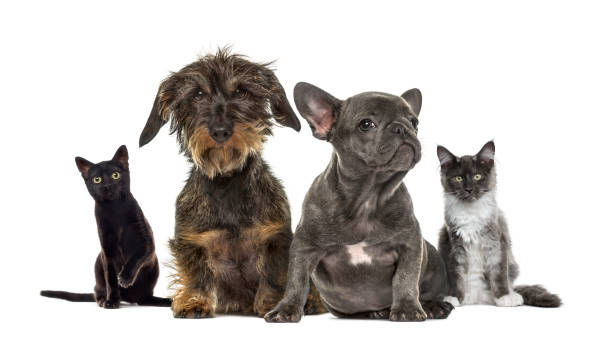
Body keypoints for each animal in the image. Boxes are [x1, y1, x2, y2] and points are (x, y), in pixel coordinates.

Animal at [41, 145, 171, 308]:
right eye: (97, 179)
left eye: (115, 175)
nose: (107, 185)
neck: (114, 210)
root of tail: (129, 299)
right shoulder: (107, 251)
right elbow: (111, 279)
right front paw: (112, 301)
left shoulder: (146, 240)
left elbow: (137, 257)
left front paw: (125, 278)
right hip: (99, 261)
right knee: (98, 291)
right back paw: (104, 300)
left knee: (144, 299)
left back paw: (167, 301)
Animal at [139, 48, 328, 318]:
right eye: (198, 94)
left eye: (241, 91)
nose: (220, 131)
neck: (227, 181)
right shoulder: (191, 241)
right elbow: (196, 274)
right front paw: (194, 301)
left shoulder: (276, 238)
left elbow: (275, 274)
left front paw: (274, 303)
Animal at [266, 82, 452, 322]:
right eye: (366, 124)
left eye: (414, 122)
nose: (402, 128)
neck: (368, 197)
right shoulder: (304, 246)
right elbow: (297, 281)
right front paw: (286, 309)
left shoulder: (409, 244)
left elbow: (406, 278)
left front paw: (408, 308)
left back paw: (433, 307)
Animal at [436, 141, 560, 308]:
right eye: (458, 178)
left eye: (477, 176)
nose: (469, 189)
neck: (471, 212)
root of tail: (478, 298)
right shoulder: (453, 246)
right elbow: (456, 276)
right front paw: (454, 297)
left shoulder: (496, 242)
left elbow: (499, 273)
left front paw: (504, 297)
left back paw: (512, 295)